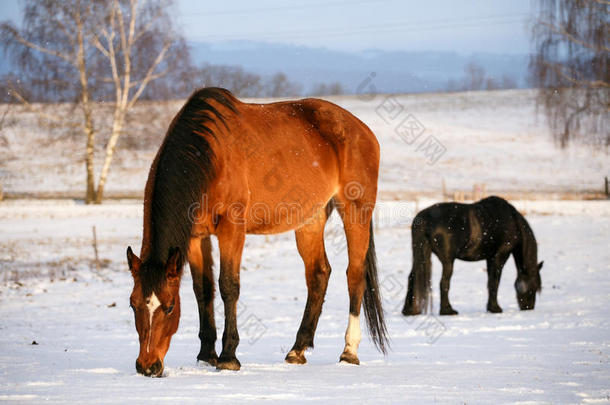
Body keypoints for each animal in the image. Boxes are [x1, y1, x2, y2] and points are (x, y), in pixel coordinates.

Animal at [126, 87, 388, 376]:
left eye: (170, 307)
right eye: (133, 303)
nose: (147, 366)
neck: (209, 155)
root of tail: (362, 129)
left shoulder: (232, 228)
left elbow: (228, 285)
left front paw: (228, 357)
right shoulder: (196, 236)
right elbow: (202, 288)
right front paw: (206, 355)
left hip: (355, 211)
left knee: (355, 275)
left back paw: (349, 351)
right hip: (310, 219)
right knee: (318, 274)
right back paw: (297, 350)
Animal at [402, 196, 540, 316]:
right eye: (534, 286)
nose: (529, 307)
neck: (513, 221)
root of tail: (423, 219)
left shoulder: (490, 258)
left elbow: (490, 281)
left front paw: (491, 307)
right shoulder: (500, 256)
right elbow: (495, 282)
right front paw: (495, 308)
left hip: (421, 257)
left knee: (412, 277)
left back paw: (409, 311)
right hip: (448, 261)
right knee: (444, 282)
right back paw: (447, 310)